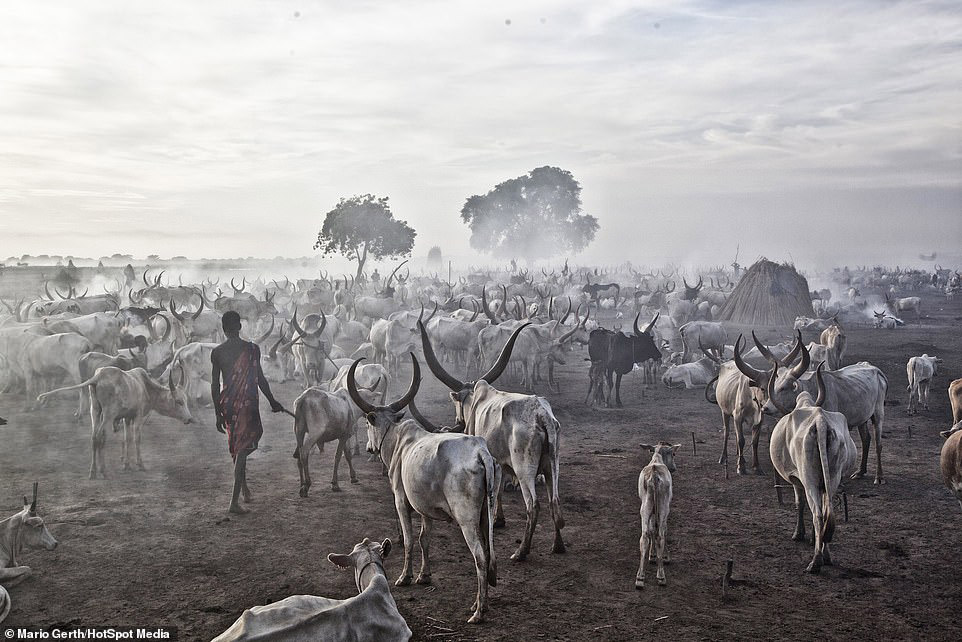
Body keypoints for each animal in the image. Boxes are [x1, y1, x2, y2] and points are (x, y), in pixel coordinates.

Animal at [632, 442, 680, 588]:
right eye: (673, 454)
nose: (674, 468)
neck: (657, 458)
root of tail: (654, 474)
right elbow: (663, 529)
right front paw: (665, 557)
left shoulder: (652, 511)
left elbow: (652, 529)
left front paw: (652, 555)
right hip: (664, 506)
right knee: (660, 535)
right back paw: (661, 576)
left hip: (645, 507)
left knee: (644, 536)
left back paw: (640, 577)